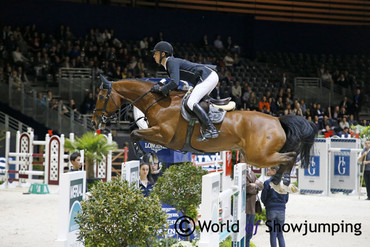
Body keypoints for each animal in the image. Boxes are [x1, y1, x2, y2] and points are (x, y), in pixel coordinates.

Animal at [93, 77, 318, 193]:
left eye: (102, 97)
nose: (95, 122)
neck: (158, 102)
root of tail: (278, 121)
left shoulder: (163, 135)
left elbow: (134, 133)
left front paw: (144, 154)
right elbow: (135, 134)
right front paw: (147, 156)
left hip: (259, 156)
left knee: (289, 157)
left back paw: (283, 182)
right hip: (258, 155)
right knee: (289, 156)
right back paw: (280, 183)